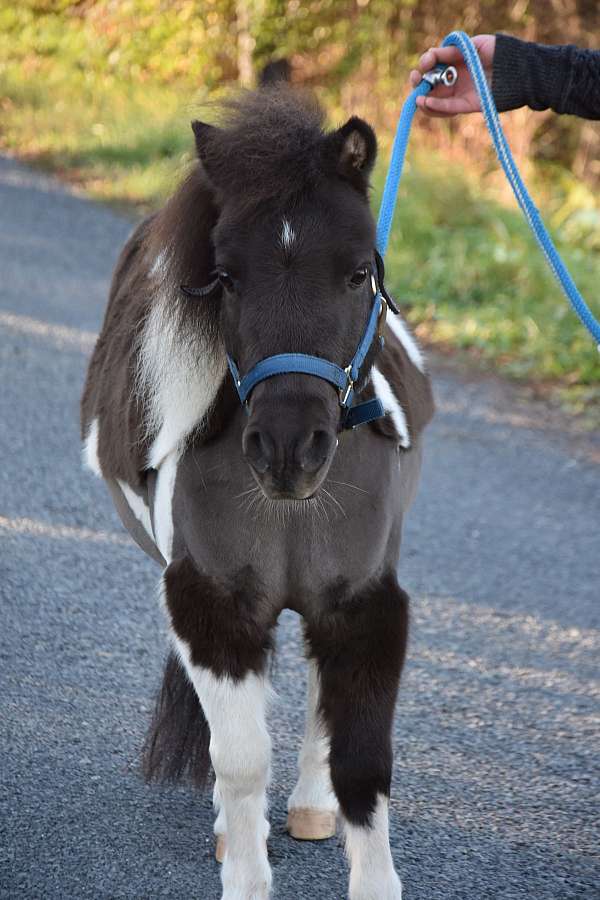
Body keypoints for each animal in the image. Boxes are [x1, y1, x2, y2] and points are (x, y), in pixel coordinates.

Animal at [82, 72, 434, 900]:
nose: (286, 449)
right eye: (225, 278)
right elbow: (239, 761)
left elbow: (362, 762)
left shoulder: (364, 605)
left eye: (358, 271)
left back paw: (310, 805)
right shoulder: (209, 604)